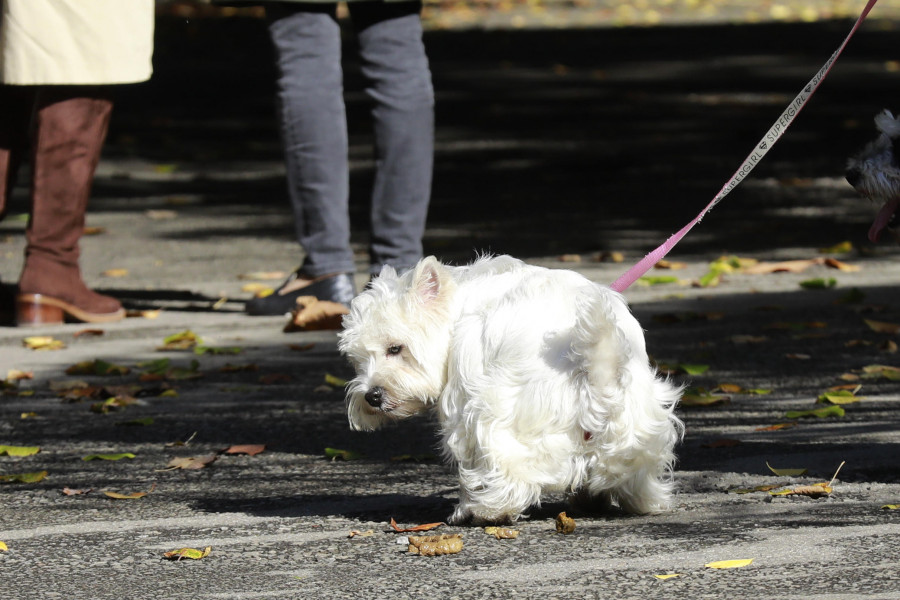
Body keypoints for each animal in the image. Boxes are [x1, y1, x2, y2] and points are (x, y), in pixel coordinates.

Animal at [338, 255, 684, 524]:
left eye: (395, 348)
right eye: (356, 360)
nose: (372, 396)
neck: (458, 307)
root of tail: (593, 369)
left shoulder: (463, 403)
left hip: (497, 412)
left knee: (511, 472)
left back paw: (485, 511)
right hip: (639, 424)